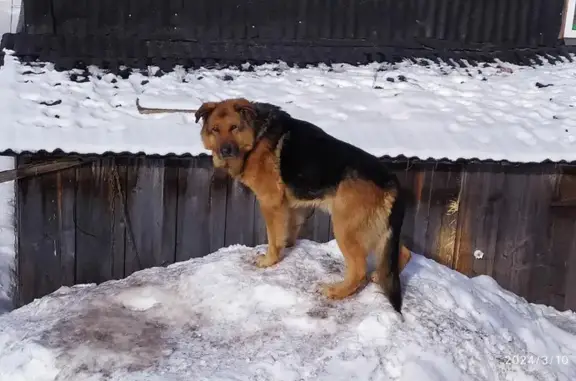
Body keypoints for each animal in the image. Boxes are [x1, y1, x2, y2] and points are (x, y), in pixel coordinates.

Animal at [196, 97, 408, 312]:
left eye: (234, 127)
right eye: (215, 129)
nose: (225, 151)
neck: (256, 136)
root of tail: (391, 179)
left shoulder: (270, 202)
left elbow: (273, 237)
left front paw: (269, 260)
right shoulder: (293, 207)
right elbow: (287, 231)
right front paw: (288, 246)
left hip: (345, 228)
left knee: (359, 270)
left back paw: (336, 291)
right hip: (378, 231)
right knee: (403, 253)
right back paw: (379, 275)